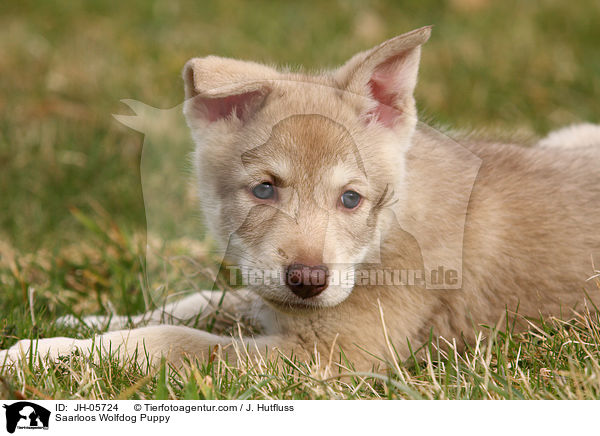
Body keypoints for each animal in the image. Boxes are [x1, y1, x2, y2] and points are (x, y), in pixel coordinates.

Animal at [1, 25, 600, 370]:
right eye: (265, 189)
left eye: (351, 199)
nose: (308, 282)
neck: (387, 235)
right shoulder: (270, 297)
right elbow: (190, 304)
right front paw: (79, 324)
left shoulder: (330, 358)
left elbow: (173, 340)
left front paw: (44, 355)